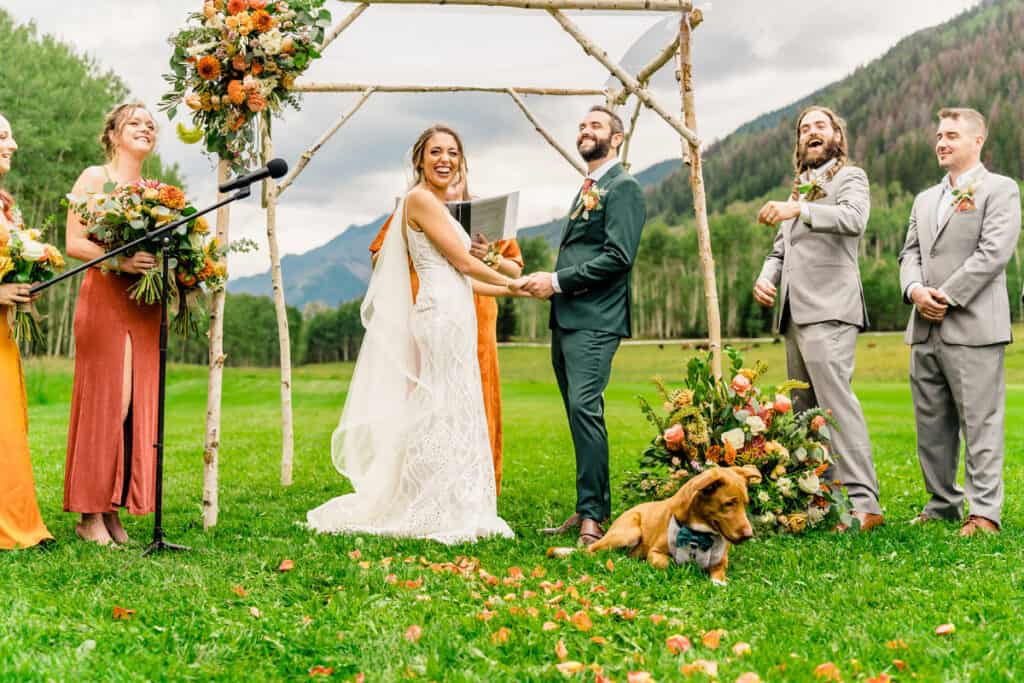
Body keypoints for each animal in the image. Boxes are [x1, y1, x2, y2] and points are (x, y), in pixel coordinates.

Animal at [589, 466, 765, 585]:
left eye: (745, 504)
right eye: (729, 504)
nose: (749, 535)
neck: (699, 533)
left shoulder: (720, 561)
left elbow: (718, 574)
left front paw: (719, 582)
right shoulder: (655, 552)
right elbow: (666, 562)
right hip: (628, 533)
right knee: (591, 548)